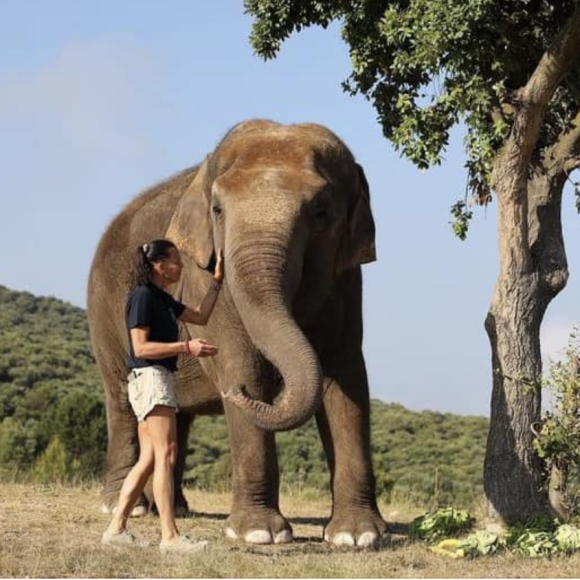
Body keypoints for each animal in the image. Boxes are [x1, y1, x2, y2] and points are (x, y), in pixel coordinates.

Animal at [87, 120, 386, 548]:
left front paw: (356, 537)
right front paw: (259, 534)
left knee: (176, 419)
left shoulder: (345, 280)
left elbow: (346, 383)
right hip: (106, 313)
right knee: (122, 401)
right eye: (218, 210)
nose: (235, 394)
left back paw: (176, 508)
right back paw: (124, 507)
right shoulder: (200, 280)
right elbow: (244, 365)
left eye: (321, 213)